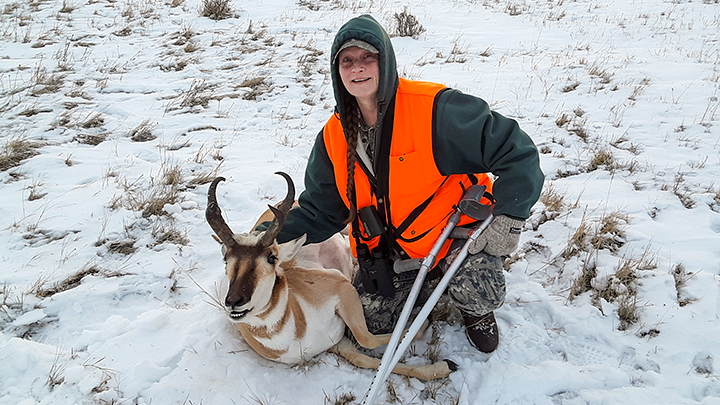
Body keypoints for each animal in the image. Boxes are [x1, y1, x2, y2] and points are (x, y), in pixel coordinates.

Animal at [205, 173, 456, 378]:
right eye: (226, 258)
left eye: (272, 258)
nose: (234, 301)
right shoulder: (337, 343)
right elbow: (364, 358)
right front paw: (443, 366)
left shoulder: (342, 287)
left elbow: (366, 338)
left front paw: (421, 326)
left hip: (347, 230)